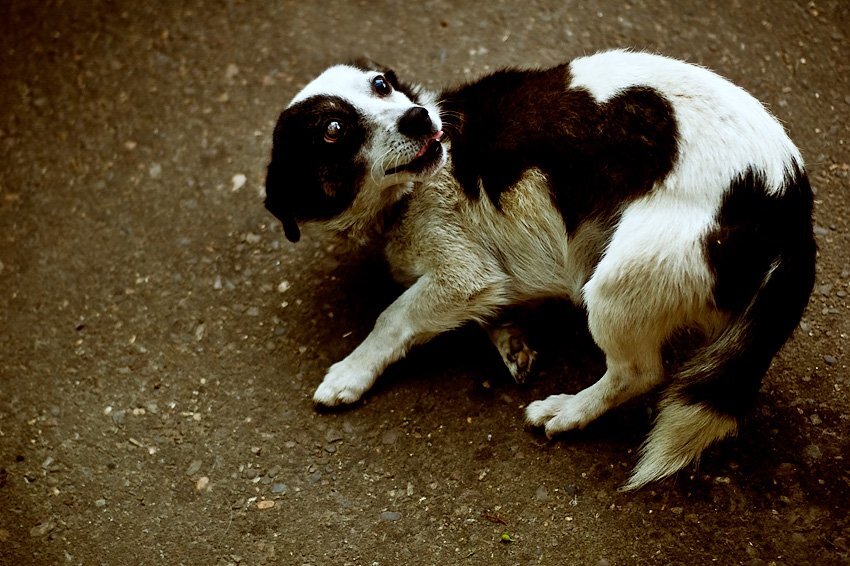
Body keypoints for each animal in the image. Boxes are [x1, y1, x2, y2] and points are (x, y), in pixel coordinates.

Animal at [264, 51, 816, 490]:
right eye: (333, 131)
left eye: (381, 84)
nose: (418, 118)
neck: (408, 195)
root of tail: (787, 198)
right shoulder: (489, 277)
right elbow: (496, 305)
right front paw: (509, 337)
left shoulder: (462, 274)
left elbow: (392, 317)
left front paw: (351, 371)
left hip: (615, 282)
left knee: (637, 373)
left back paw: (568, 412)